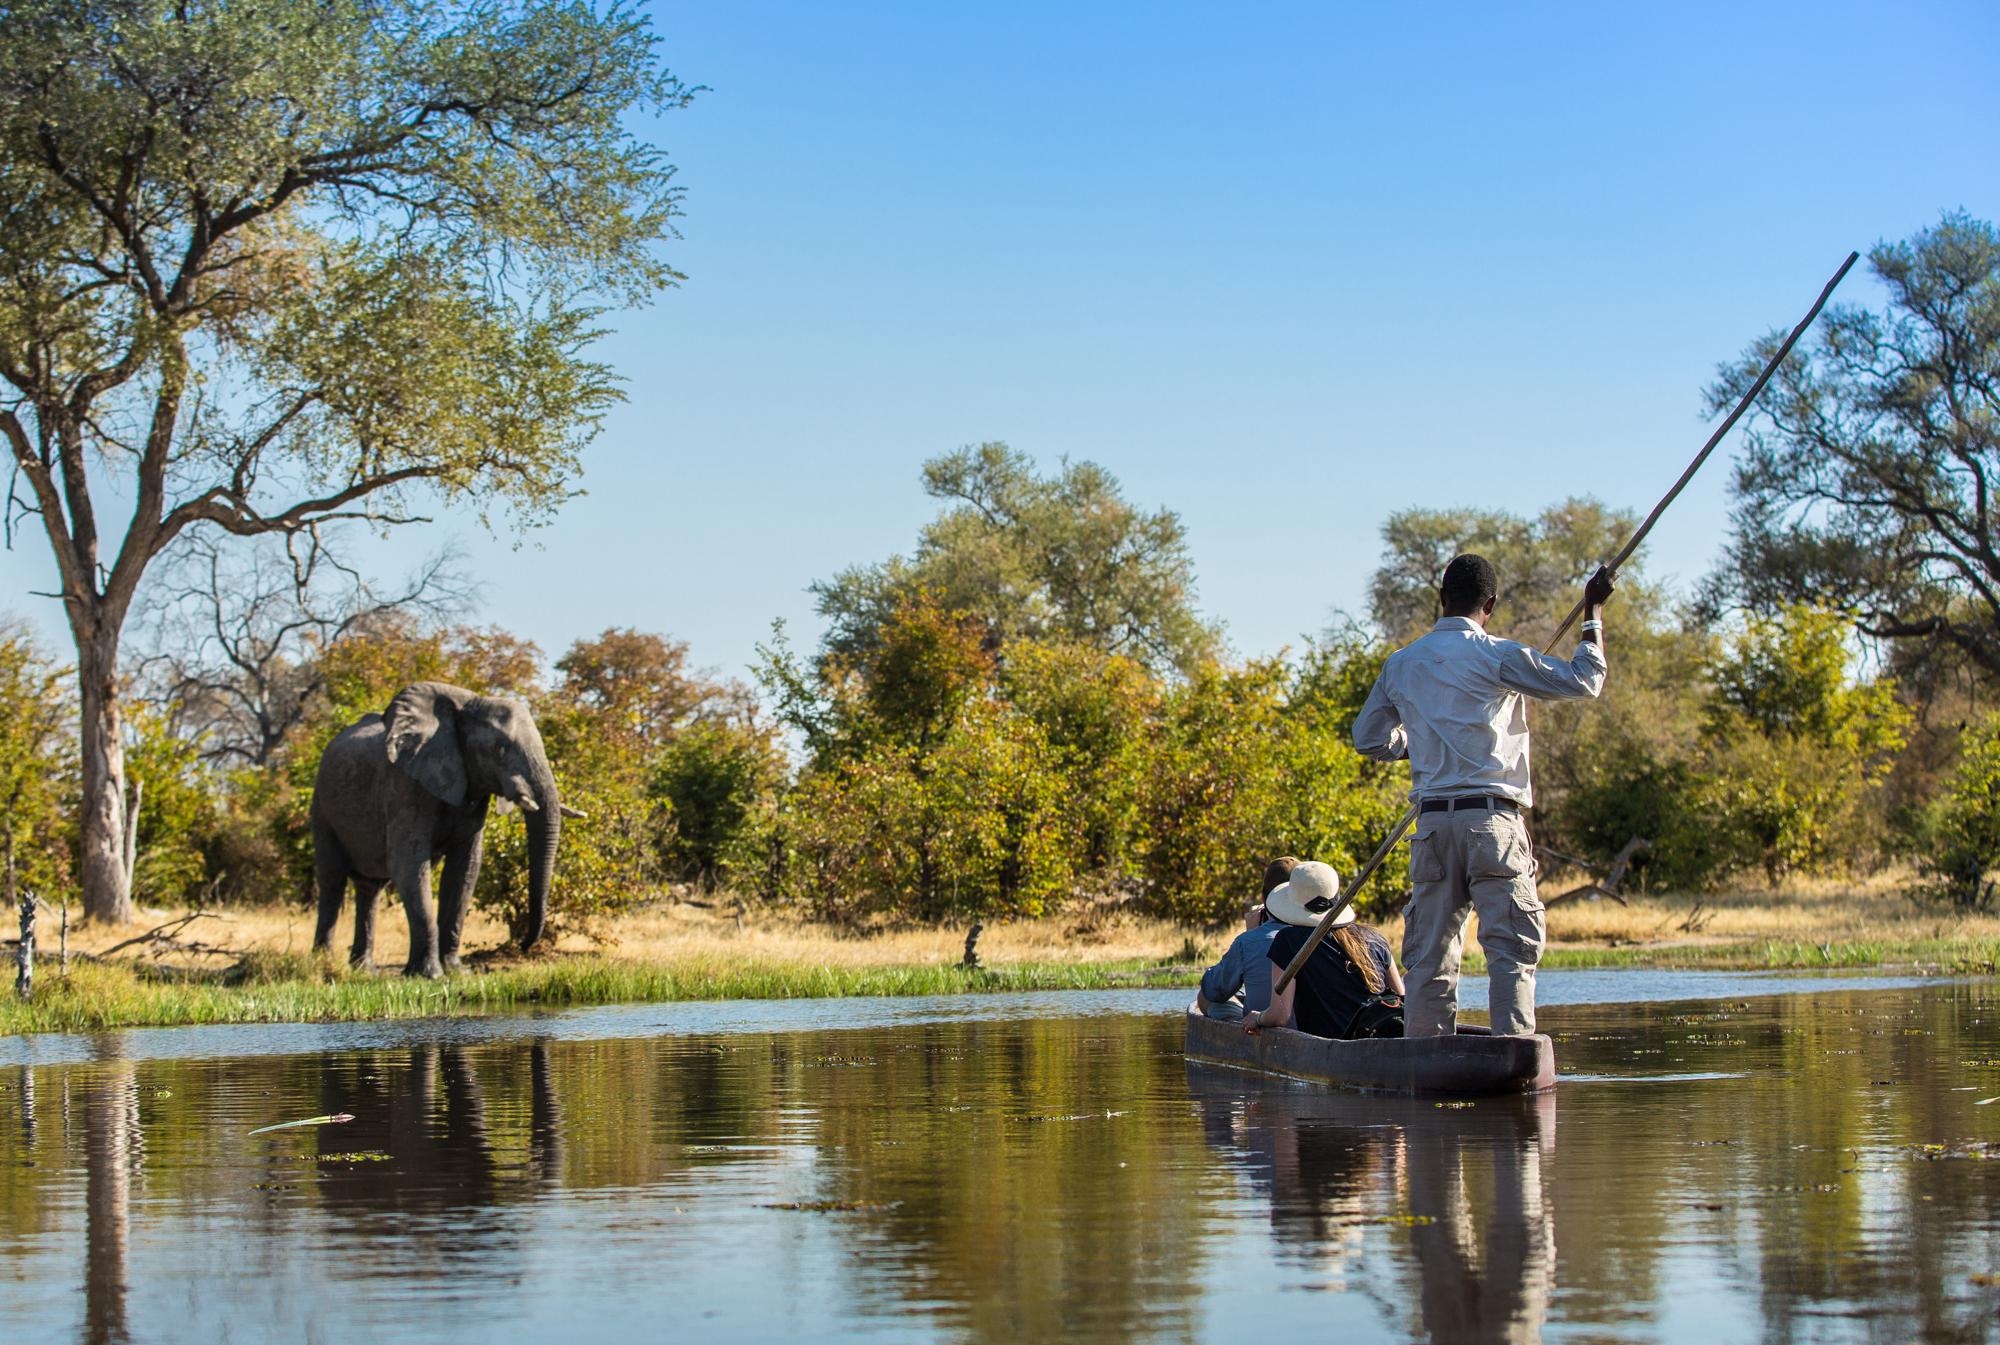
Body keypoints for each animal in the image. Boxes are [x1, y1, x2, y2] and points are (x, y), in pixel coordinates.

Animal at [310, 680, 579, 978]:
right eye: (500, 750)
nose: (523, 945)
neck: (463, 708)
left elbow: (465, 869)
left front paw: (457, 972)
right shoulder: (404, 785)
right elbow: (408, 864)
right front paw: (429, 975)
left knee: (371, 888)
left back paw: (365, 970)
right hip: (322, 805)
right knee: (332, 880)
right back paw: (323, 964)